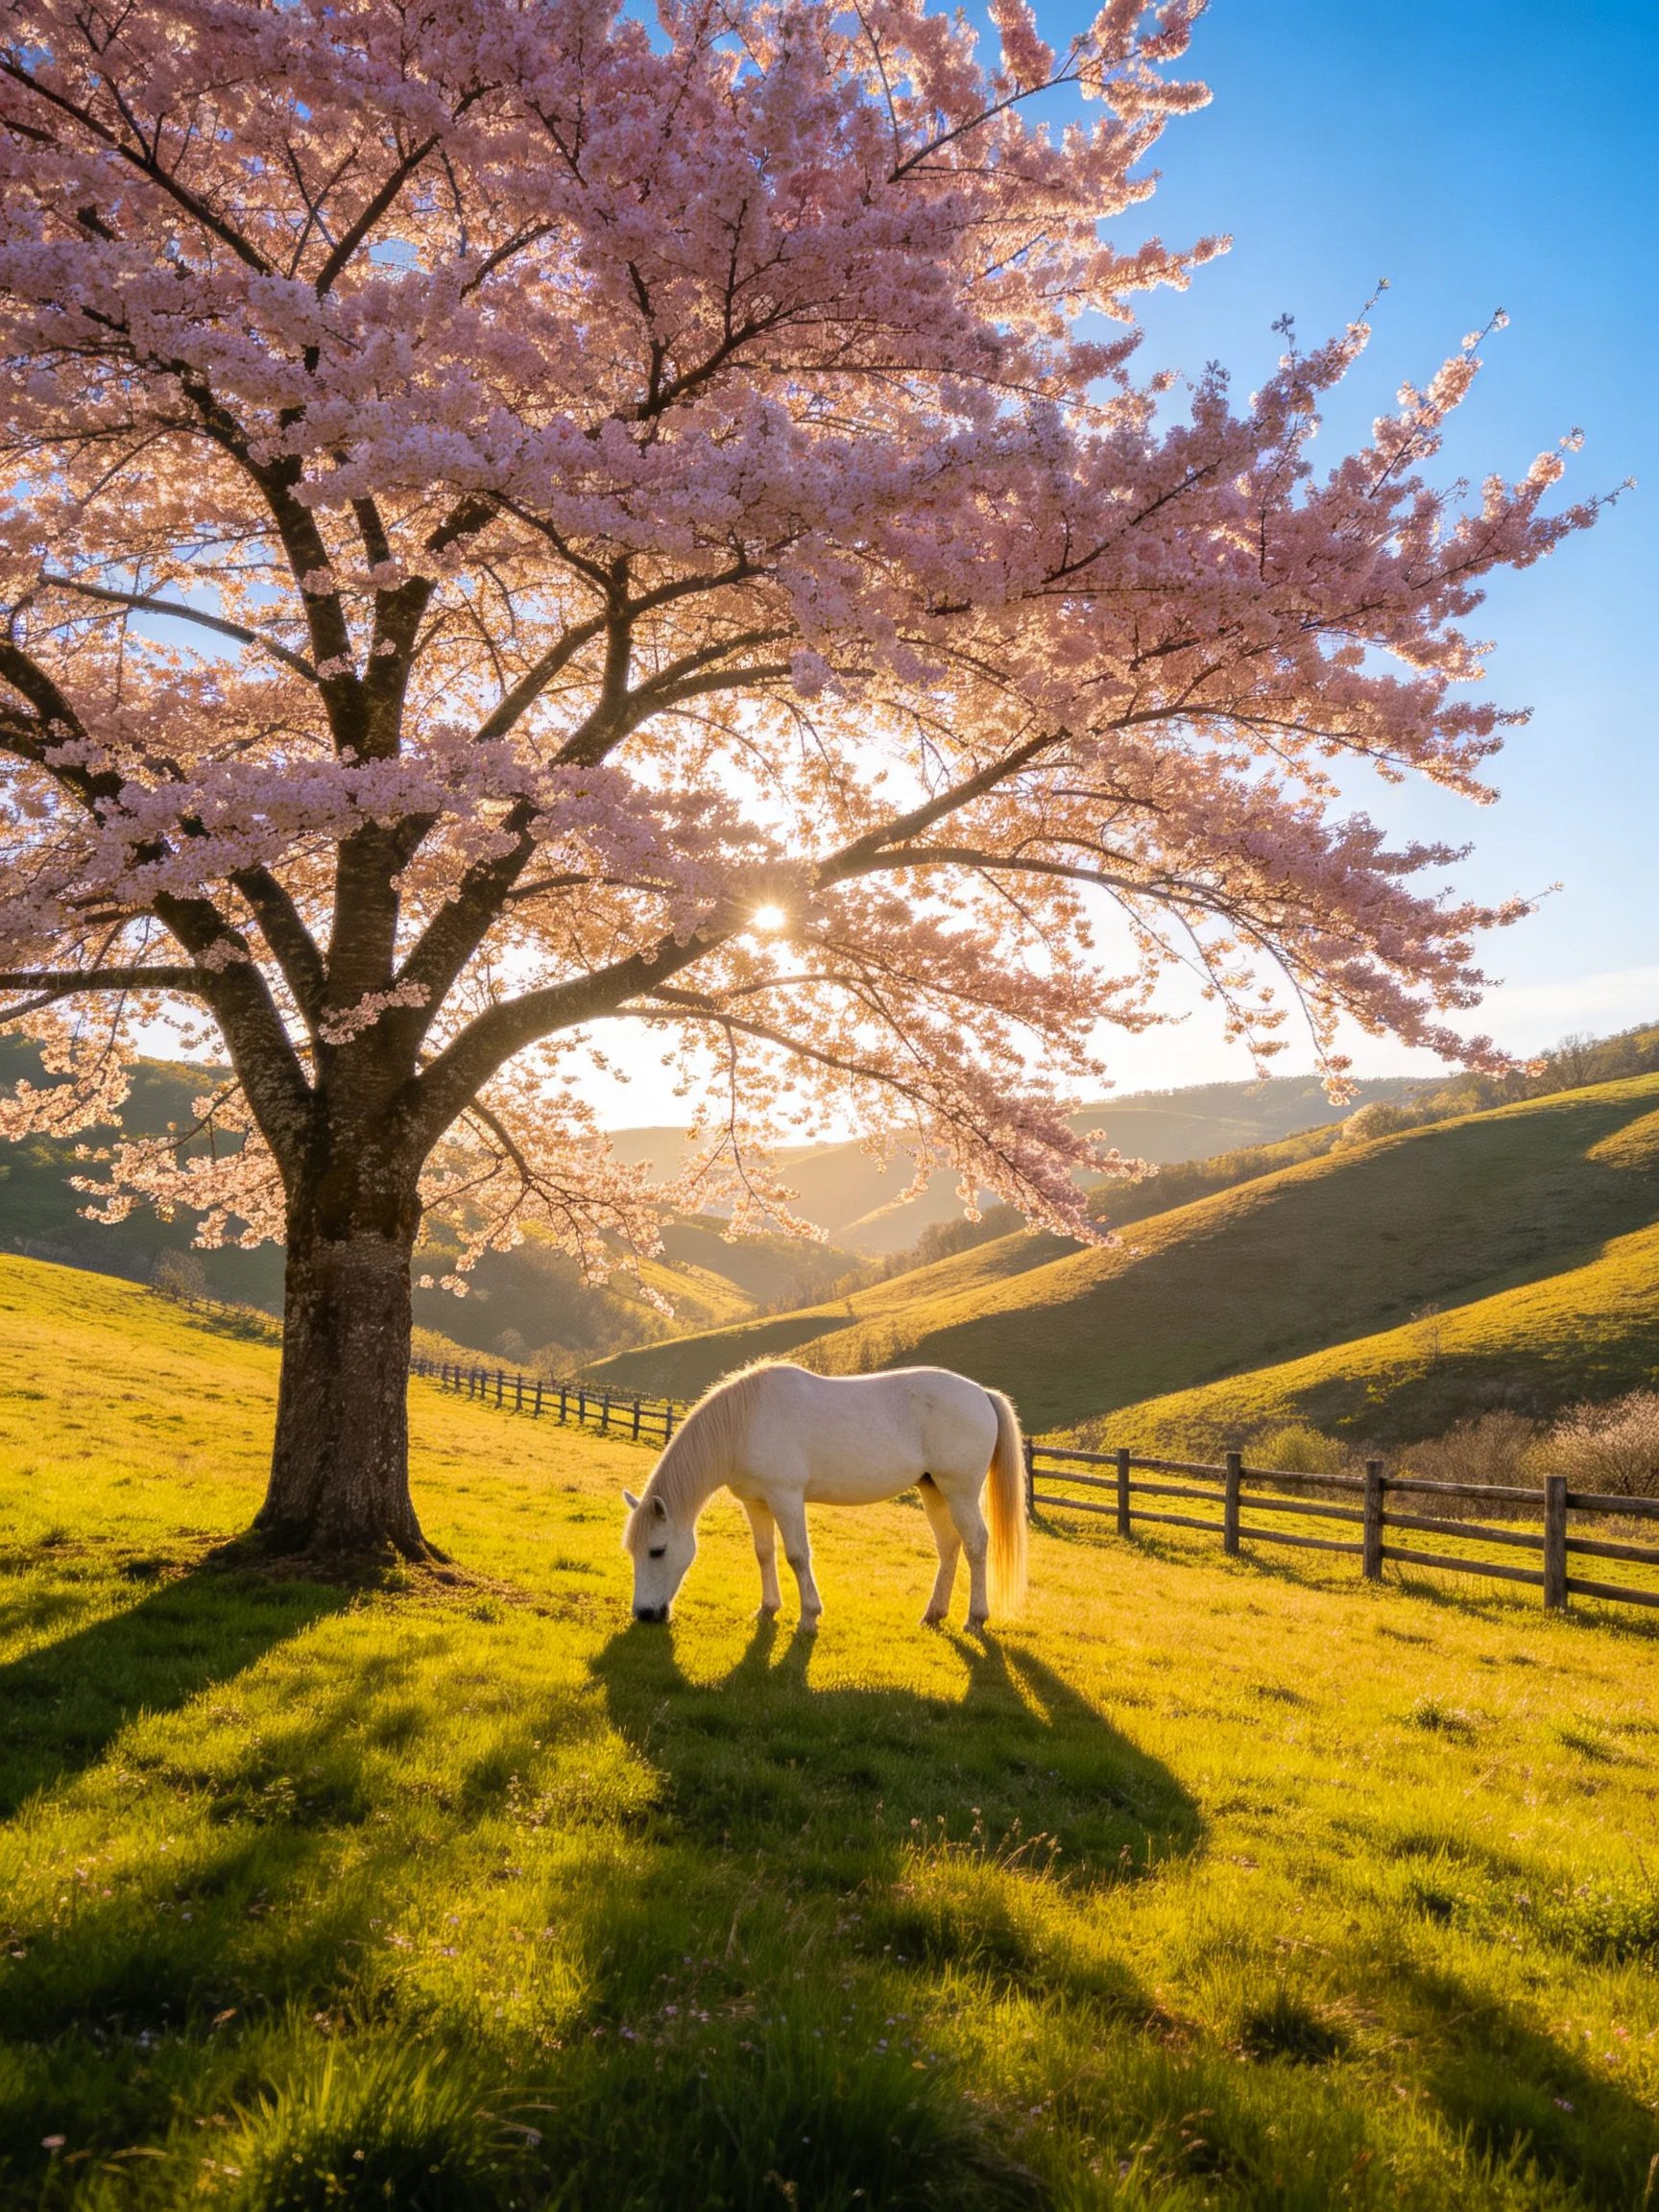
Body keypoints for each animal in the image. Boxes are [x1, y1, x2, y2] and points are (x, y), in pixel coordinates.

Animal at [621, 1361, 1027, 1631]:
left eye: (657, 1551)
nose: (644, 1614)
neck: (744, 1422)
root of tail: (982, 1394)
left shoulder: (785, 1497)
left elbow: (797, 1556)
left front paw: (809, 1617)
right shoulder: (755, 1502)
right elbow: (764, 1553)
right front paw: (767, 1609)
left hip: (959, 1491)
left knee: (976, 1544)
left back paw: (975, 1619)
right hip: (934, 1490)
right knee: (949, 1546)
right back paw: (933, 1614)